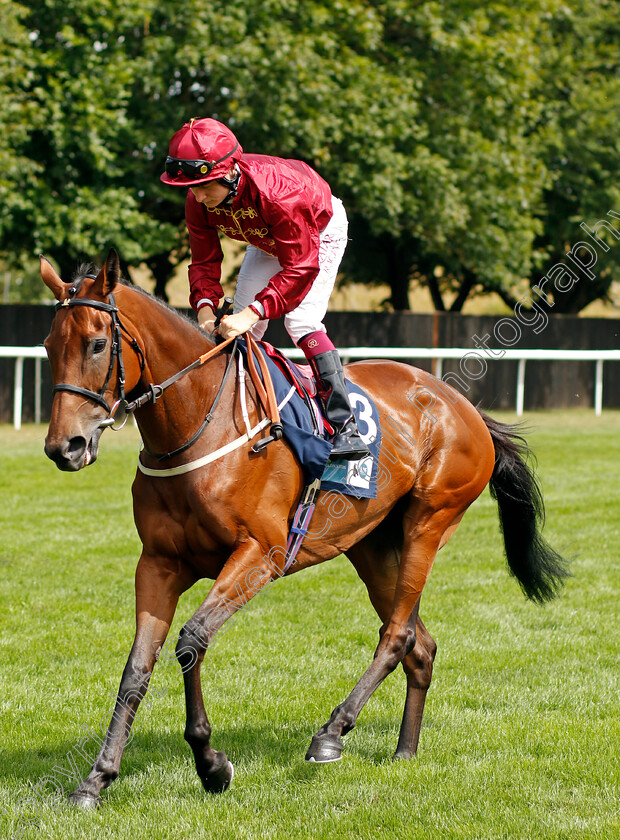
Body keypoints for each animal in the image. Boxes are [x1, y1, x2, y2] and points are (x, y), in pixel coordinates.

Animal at [41, 248, 568, 808]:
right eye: (50, 345)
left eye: (97, 344)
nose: (64, 446)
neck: (198, 427)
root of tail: (459, 403)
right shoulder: (159, 563)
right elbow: (137, 668)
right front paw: (96, 779)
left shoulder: (259, 554)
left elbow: (191, 641)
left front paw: (211, 764)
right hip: (371, 546)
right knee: (421, 646)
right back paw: (405, 750)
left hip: (428, 524)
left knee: (398, 634)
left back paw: (332, 733)